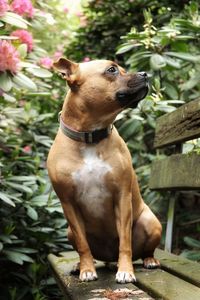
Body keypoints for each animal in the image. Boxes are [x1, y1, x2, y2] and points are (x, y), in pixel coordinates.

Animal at [47, 56, 162, 284]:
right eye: (112, 70)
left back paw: (148, 260)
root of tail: (109, 259)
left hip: (150, 222)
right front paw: (86, 269)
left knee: (145, 250)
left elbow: (125, 241)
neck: (90, 137)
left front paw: (126, 271)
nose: (145, 73)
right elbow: (83, 245)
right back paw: (80, 265)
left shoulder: (122, 196)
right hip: (69, 231)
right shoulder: (68, 204)